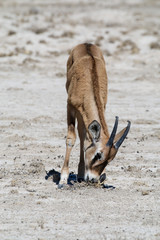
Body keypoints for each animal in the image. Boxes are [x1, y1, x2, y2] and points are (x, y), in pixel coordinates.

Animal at [58, 43, 130, 188]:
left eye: (110, 159)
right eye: (98, 155)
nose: (93, 179)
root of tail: (86, 44)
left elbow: (85, 139)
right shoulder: (70, 107)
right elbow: (71, 138)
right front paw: (62, 179)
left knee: (83, 136)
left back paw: (80, 175)